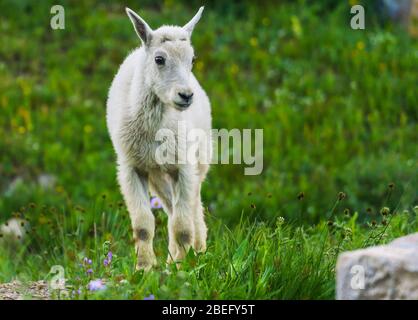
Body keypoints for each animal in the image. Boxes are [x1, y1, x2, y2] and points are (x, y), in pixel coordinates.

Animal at [107, 6, 212, 268]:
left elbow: (182, 226)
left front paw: (183, 268)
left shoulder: (183, 165)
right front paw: (144, 268)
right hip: (155, 173)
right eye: (159, 59)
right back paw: (174, 257)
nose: (185, 95)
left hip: (199, 160)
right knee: (172, 209)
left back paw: (197, 250)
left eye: (192, 60)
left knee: (192, 209)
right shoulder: (132, 167)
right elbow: (143, 225)